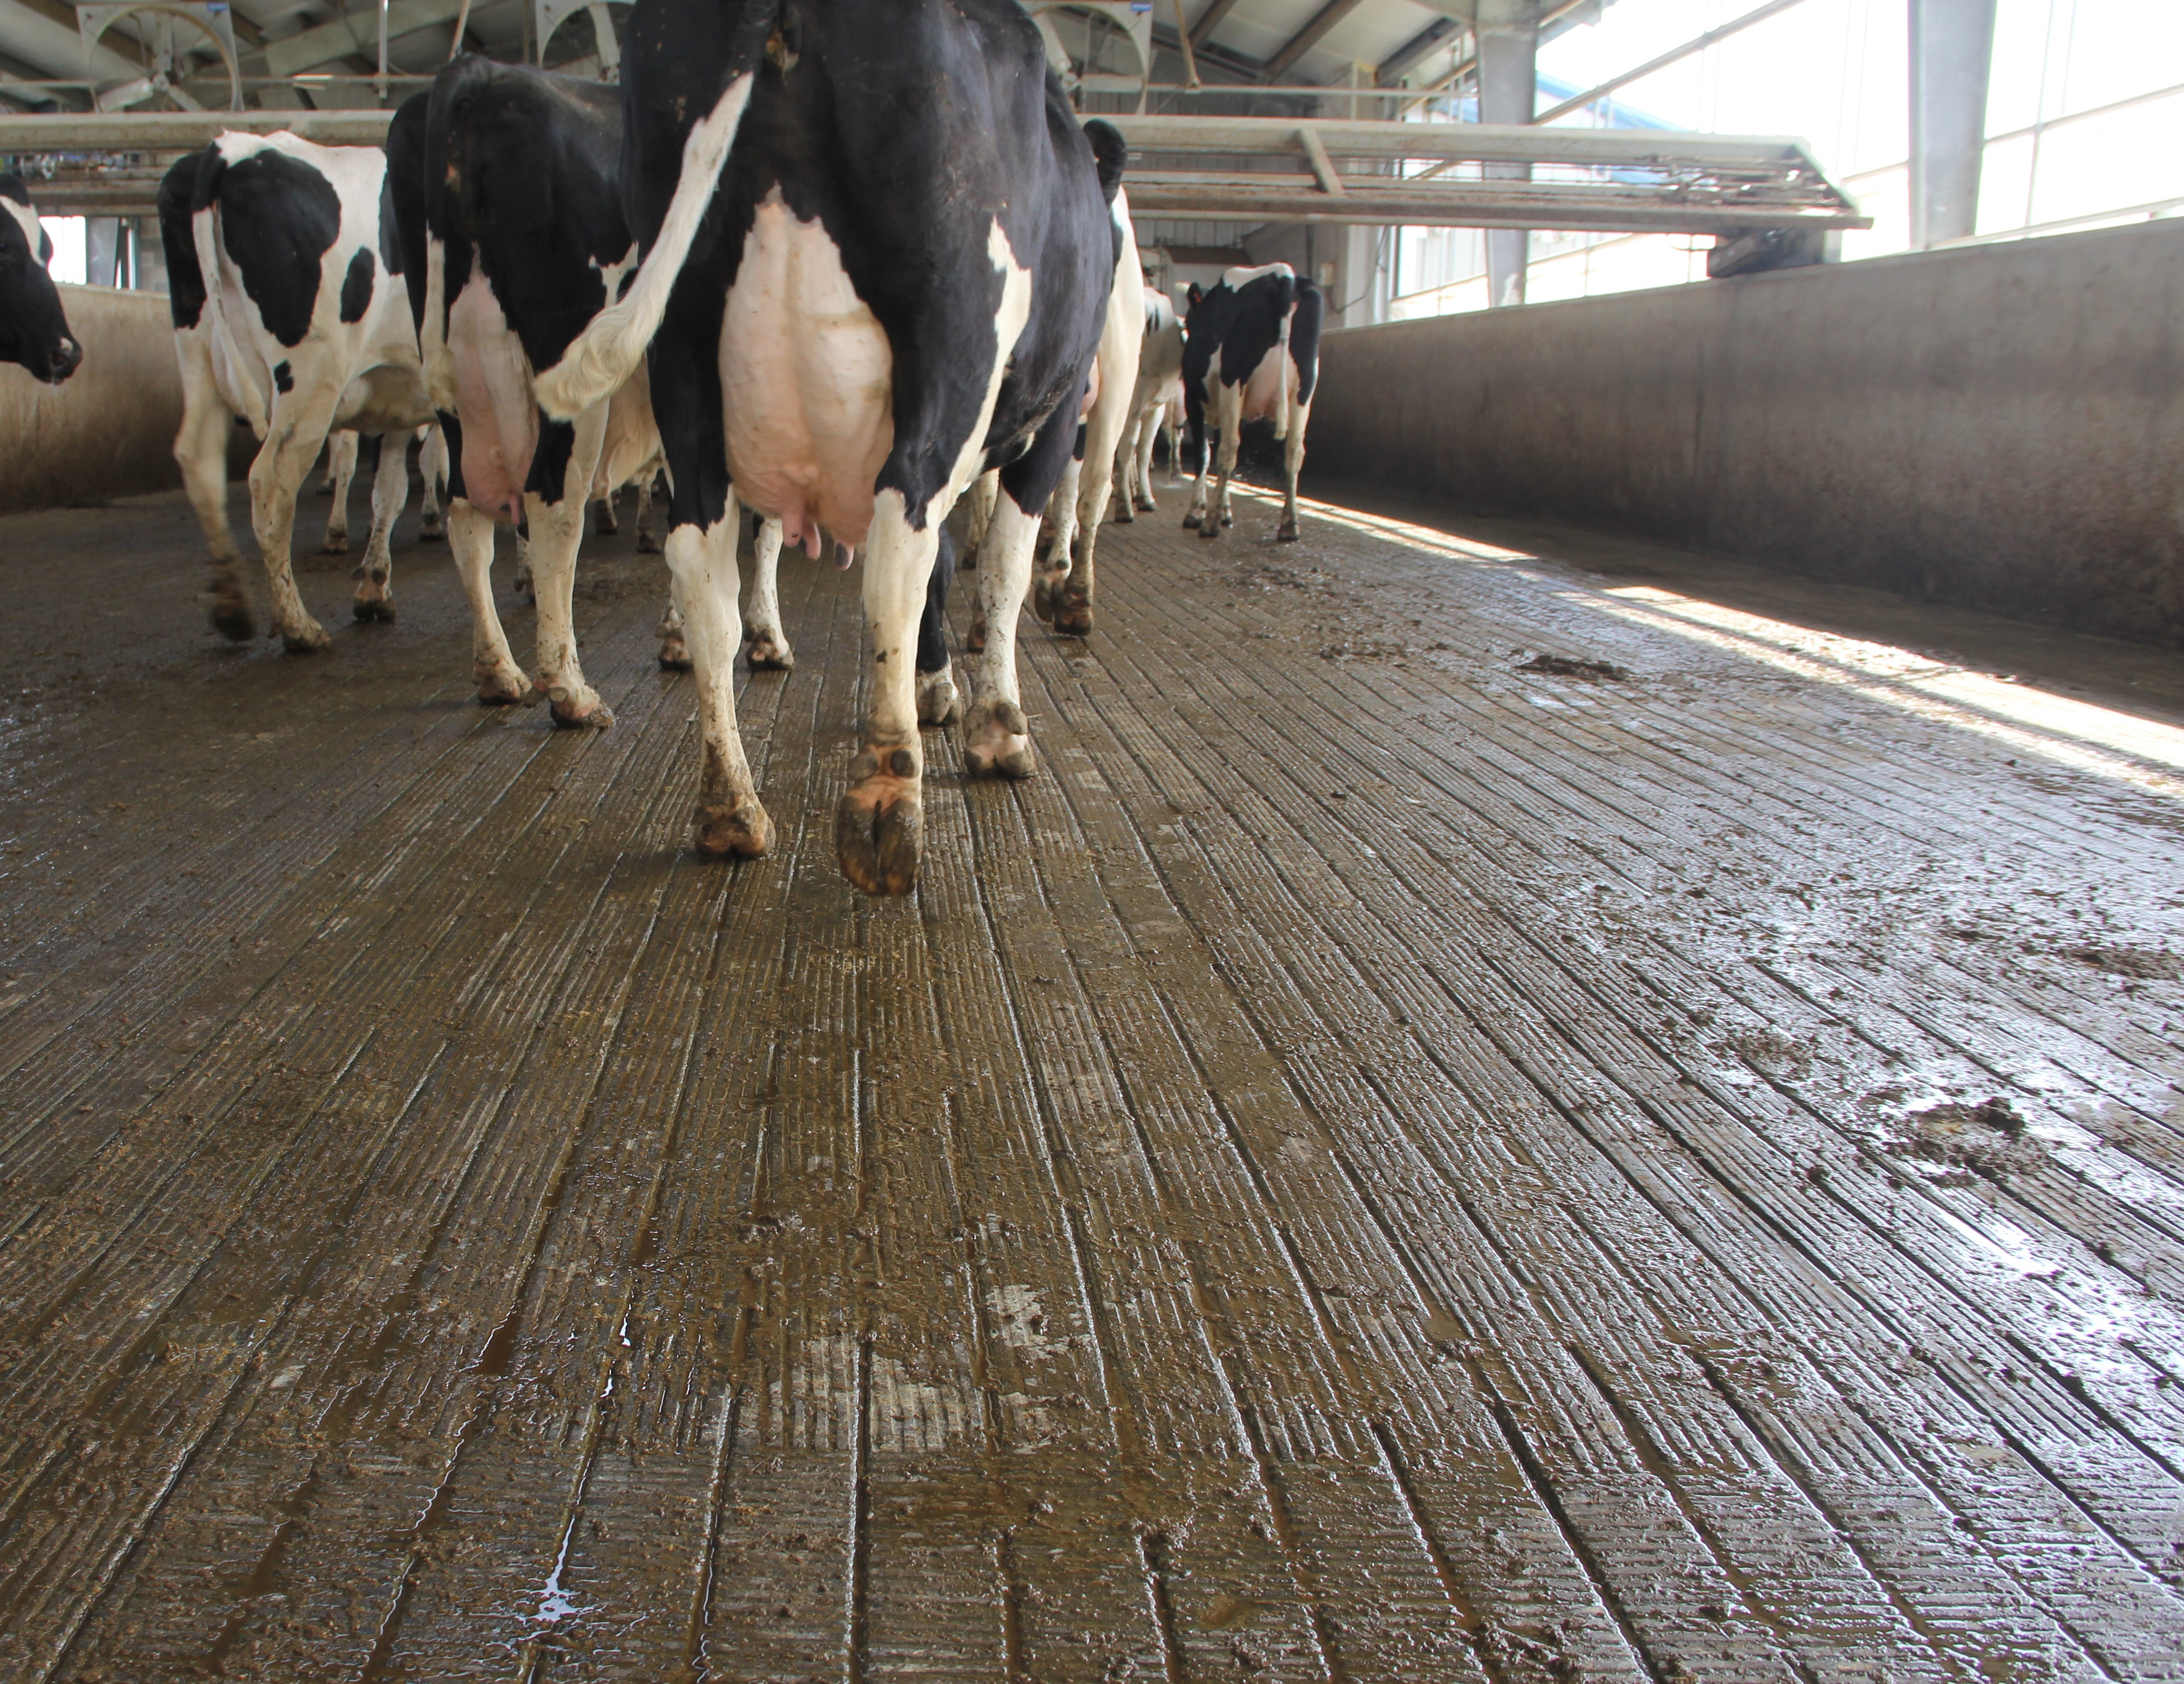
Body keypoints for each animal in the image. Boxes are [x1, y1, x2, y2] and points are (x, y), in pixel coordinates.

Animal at [158, 130, 434, 646]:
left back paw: (233, 605)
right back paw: (296, 623)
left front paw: (374, 587)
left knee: (199, 459)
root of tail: (235, 147)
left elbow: (390, 490)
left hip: (199, 354)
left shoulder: (400, 398)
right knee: (272, 481)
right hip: (310, 380)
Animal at [526, 0, 1109, 895]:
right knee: (900, 547)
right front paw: (996, 727)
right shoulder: (1048, 420)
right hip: (952, 338)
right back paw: (887, 799)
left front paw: (938, 685)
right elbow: (1002, 569)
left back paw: (730, 808)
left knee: (704, 568)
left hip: (684, 353)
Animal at [1188, 262, 1319, 546]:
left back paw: (1210, 524)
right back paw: (1289, 525)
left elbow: (1203, 454)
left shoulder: (1192, 396)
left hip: (1233, 378)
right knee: (1294, 451)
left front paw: (1196, 512)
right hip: (1305, 388)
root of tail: (1282, 274)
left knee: (1229, 448)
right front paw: (1225, 510)